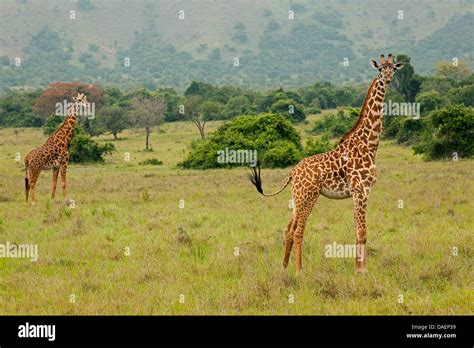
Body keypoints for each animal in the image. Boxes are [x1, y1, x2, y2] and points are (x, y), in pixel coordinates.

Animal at [250, 53, 406, 274]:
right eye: (379, 69)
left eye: (393, 68)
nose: (387, 79)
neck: (370, 145)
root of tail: (292, 172)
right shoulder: (361, 190)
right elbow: (362, 231)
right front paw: (362, 271)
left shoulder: (360, 192)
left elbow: (357, 230)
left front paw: (357, 268)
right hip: (308, 196)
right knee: (298, 230)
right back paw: (299, 270)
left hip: (296, 198)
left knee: (289, 229)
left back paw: (284, 267)